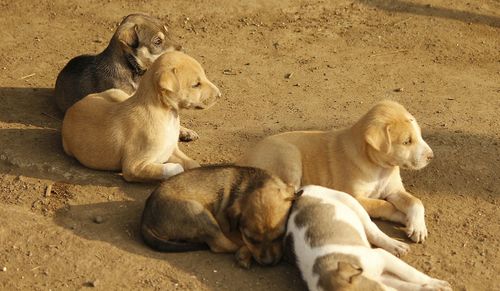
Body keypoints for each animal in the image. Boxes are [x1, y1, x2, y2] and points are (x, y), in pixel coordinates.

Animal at [61, 51, 221, 181]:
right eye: (195, 85)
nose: (220, 95)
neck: (166, 116)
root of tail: (73, 107)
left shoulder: (172, 149)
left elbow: (193, 164)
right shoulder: (133, 167)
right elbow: (172, 169)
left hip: (117, 93)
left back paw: (187, 132)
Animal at [140, 164, 296, 270]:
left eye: (280, 236)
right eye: (251, 239)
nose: (268, 263)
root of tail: (145, 220)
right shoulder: (226, 225)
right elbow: (241, 241)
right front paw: (246, 252)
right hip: (199, 213)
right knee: (220, 245)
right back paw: (242, 253)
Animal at [239, 101, 434, 243]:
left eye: (419, 135)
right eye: (407, 142)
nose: (431, 156)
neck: (379, 168)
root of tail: (245, 159)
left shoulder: (394, 190)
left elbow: (416, 201)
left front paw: (418, 226)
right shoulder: (355, 196)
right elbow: (384, 205)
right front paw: (404, 218)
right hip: (289, 157)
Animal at [286, 187, 454, 291]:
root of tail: (303, 190)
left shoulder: (383, 258)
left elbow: (412, 274)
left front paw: (437, 283)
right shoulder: (382, 278)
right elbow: (408, 285)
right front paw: (434, 287)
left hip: (352, 202)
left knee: (373, 230)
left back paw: (401, 237)